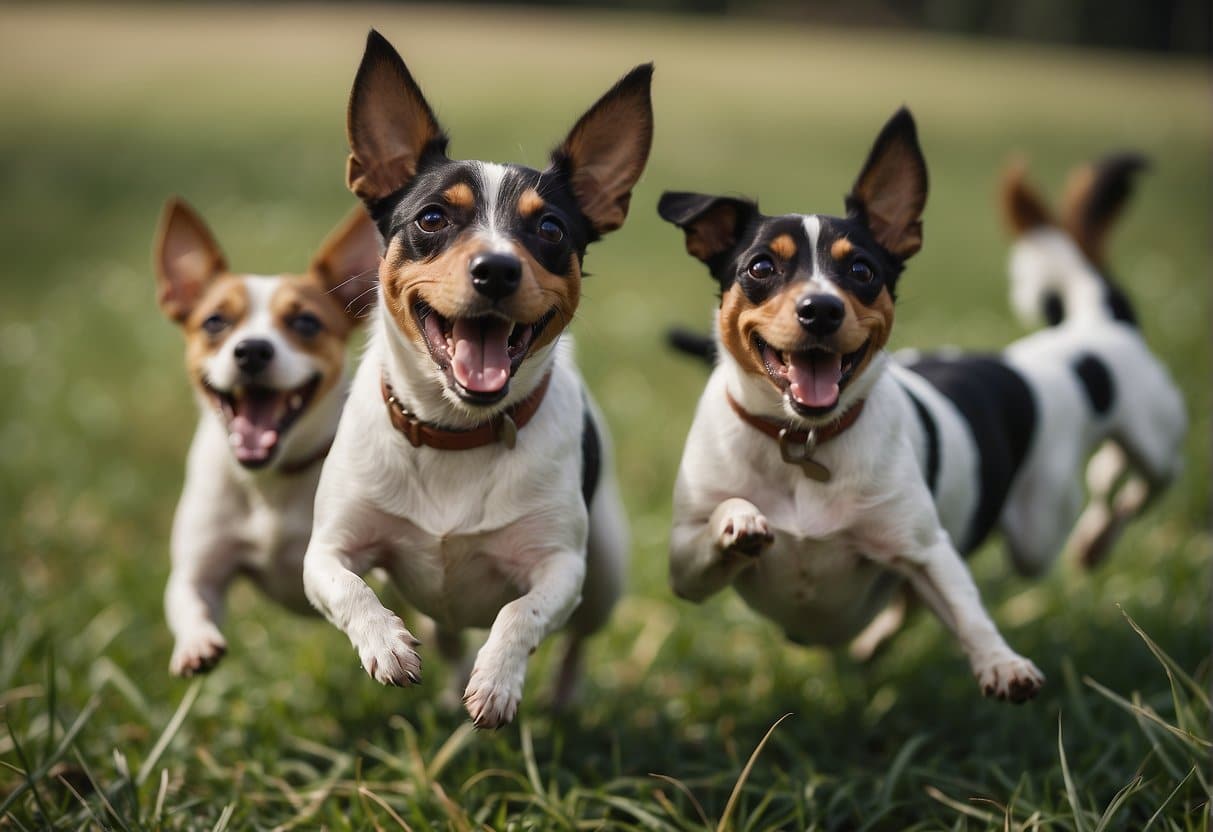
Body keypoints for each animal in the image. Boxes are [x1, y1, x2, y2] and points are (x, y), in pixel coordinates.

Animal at [155, 197, 378, 679]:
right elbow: (187, 598)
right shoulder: (200, 569)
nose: (253, 350)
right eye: (215, 322)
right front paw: (196, 645)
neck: (270, 480)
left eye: (306, 323)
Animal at [300, 29, 655, 727]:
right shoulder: (328, 548)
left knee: (576, 638)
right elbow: (347, 585)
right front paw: (385, 644)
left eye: (550, 228)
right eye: (433, 219)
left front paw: (496, 682)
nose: (496, 269)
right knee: (445, 634)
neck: (455, 433)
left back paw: (560, 699)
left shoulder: (561, 568)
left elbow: (523, 612)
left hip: (605, 571)